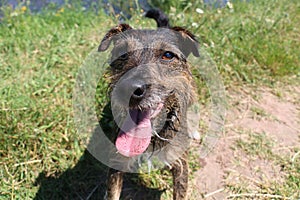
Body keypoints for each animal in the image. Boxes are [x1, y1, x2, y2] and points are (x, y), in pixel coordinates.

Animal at [98, 8, 200, 200]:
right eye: (122, 52)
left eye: (168, 55)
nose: (128, 88)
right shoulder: (116, 163)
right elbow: (113, 192)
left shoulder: (181, 166)